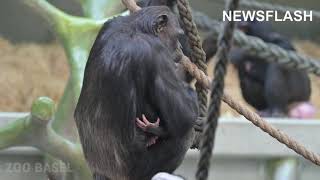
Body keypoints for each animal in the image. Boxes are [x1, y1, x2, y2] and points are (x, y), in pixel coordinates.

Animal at [75, 5, 200, 180]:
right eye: (178, 36)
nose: (180, 48)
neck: (137, 28)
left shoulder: (107, 26)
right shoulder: (156, 52)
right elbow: (184, 116)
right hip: (141, 170)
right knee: (185, 134)